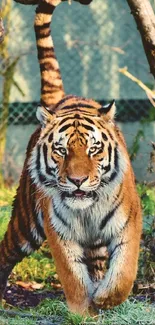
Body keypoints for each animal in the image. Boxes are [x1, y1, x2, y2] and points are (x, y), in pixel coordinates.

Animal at [0, 0, 142, 316]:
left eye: (93, 149)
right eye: (61, 150)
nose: (77, 181)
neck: (87, 210)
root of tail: (61, 99)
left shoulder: (128, 224)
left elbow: (124, 273)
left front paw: (105, 299)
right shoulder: (59, 234)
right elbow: (73, 279)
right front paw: (83, 312)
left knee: (99, 265)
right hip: (26, 223)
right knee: (5, 252)